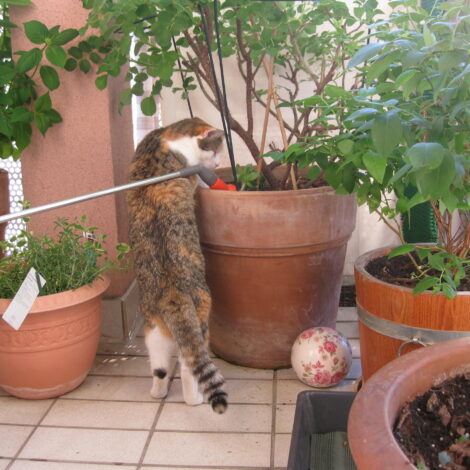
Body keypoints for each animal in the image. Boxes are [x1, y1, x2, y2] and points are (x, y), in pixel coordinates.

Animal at [125, 117, 228, 414]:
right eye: (215, 152)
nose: (218, 164)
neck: (166, 139)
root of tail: (173, 294)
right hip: (201, 323)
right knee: (189, 366)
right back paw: (195, 400)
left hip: (153, 333)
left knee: (160, 368)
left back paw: (157, 393)